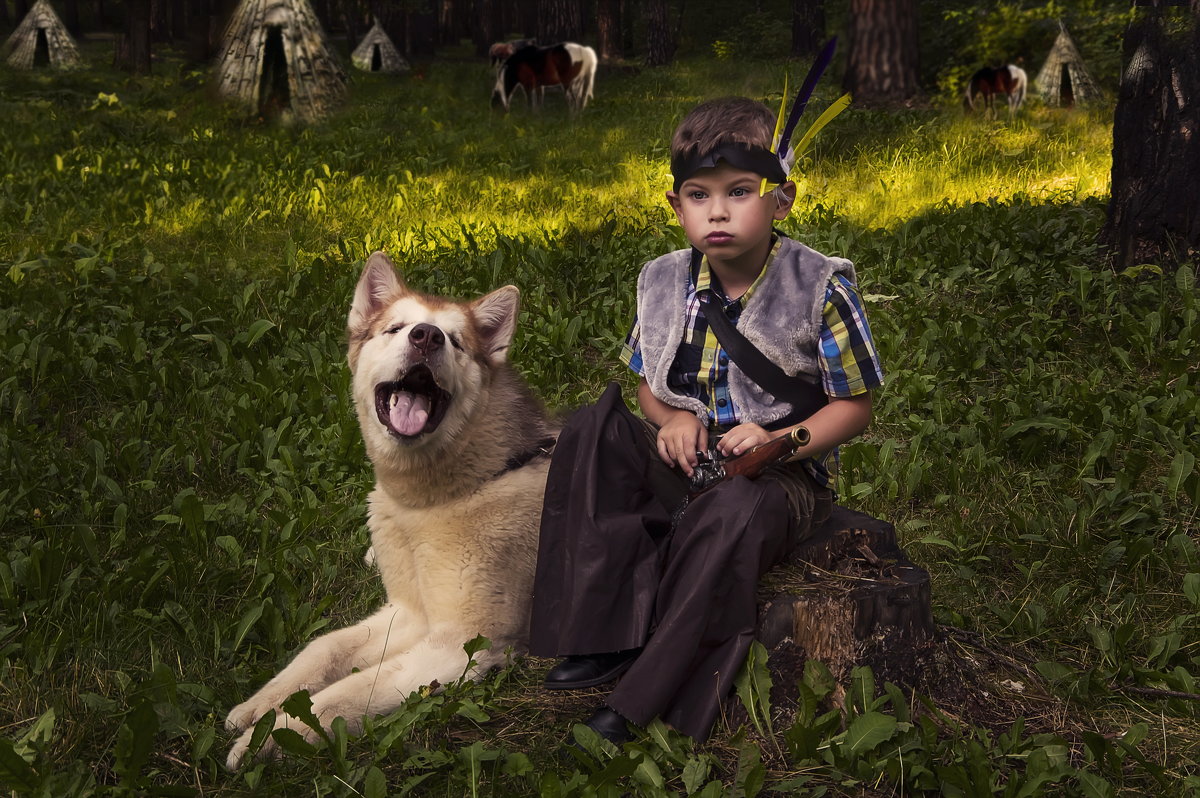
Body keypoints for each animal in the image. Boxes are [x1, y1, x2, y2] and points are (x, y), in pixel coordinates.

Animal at [225, 252, 556, 768]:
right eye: (397, 328)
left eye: (455, 340)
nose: (426, 336)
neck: (432, 504)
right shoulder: (407, 613)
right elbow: (323, 648)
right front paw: (264, 703)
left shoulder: (457, 648)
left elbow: (343, 696)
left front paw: (271, 735)